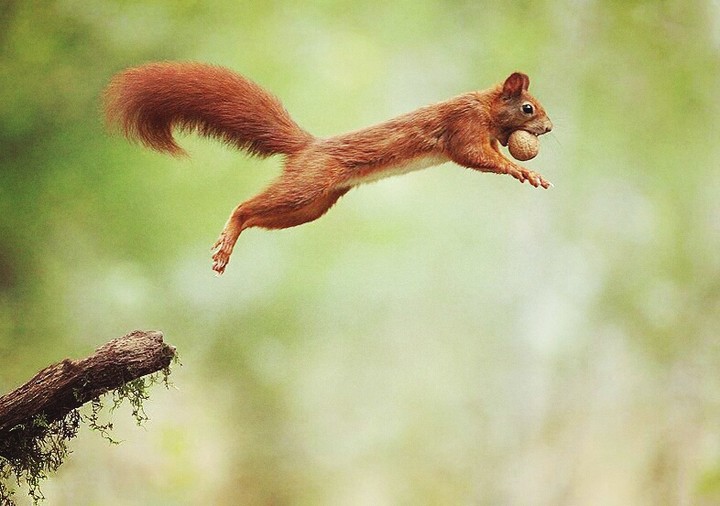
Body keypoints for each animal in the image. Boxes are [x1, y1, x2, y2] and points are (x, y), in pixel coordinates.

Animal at [104, 62, 553, 274]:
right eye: (529, 108)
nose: (549, 128)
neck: (485, 107)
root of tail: (308, 146)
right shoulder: (463, 127)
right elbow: (476, 155)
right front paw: (524, 171)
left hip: (310, 207)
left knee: (257, 216)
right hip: (306, 186)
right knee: (244, 208)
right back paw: (225, 240)